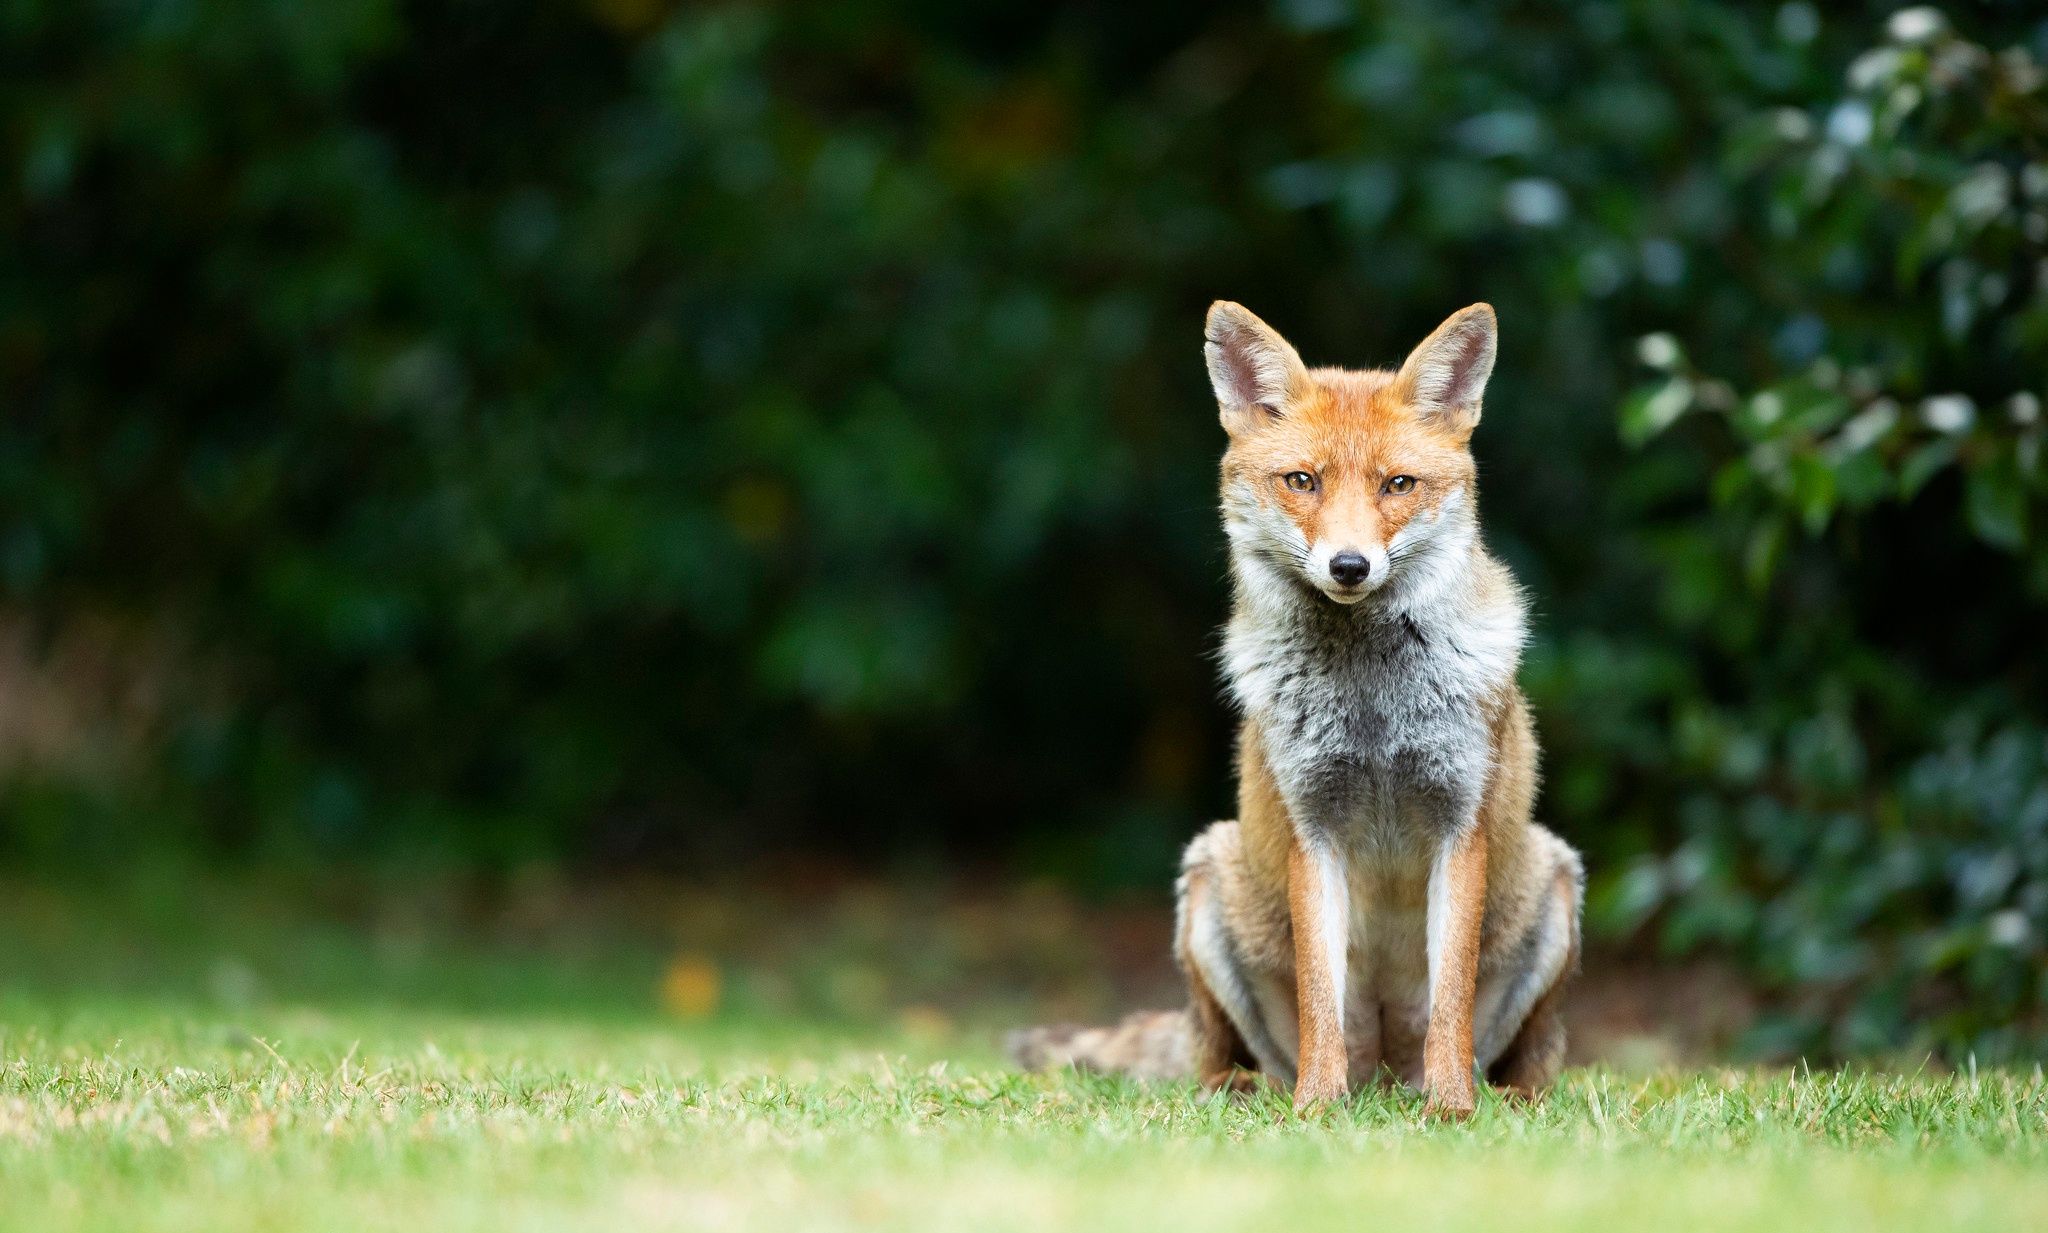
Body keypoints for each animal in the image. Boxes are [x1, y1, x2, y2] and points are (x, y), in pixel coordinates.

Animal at [1007, 299, 1581, 1114]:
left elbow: (1451, 1000)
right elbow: (1319, 996)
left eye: (1397, 484)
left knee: (1530, 1056)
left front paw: (1450, 1108)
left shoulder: (1458, 823)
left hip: (1557, 879)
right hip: (1207, 878)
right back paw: (1251, 1090)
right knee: (1213, 1052)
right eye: (1302, 480)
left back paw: (1496, 1097)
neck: (1373, 712)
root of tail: (1383, 1076)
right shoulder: (1314, 828)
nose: (1349, 565)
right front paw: (1317, 1108)